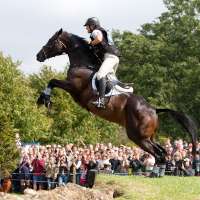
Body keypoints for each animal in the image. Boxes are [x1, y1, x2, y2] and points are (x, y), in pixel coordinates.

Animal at [36, 28, 197, 174]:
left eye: (51, 41)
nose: (38, 56)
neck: (83, 64)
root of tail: (154, 109)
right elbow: (52, 81)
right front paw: (42, 99)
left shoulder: (73, 87)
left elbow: (53, 81)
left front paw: (45, 99)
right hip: (148, 136)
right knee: (162, 152)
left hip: (138, 136)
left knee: (158, 154)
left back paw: (152, 174)